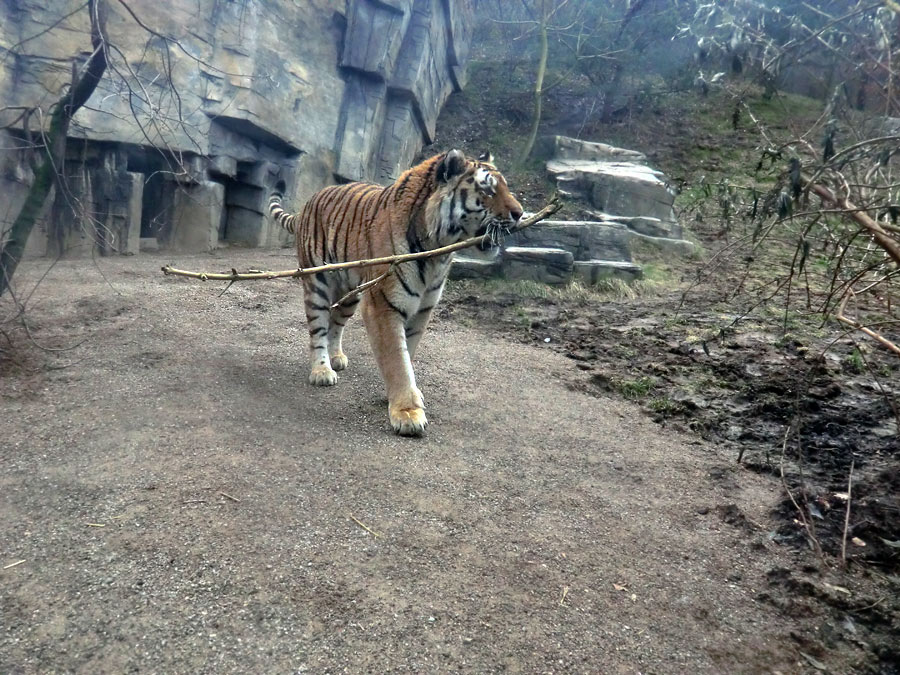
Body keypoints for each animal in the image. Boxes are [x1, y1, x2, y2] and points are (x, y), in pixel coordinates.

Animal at [268, 149, 524, 438]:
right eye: (488, 189)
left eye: (505, 187)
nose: (520, 214)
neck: (437, 254)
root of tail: (308, 203)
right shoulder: (383, 305)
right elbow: (396, 360)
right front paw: (407, 413)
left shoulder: (422, 309)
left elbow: (407, 354)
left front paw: (400, 398)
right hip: (317, 284)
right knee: (318, 329)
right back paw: (322, 370)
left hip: (351, 294)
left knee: (336, 324)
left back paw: (336, 358)